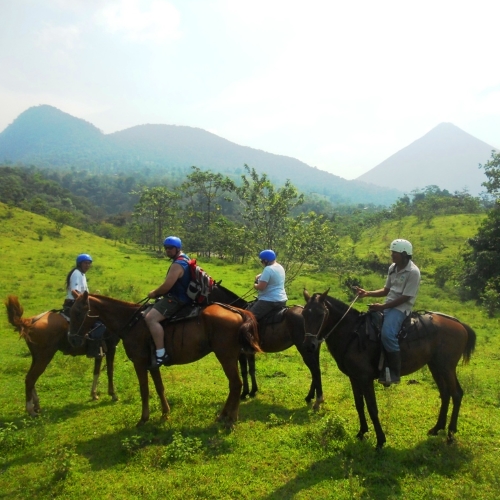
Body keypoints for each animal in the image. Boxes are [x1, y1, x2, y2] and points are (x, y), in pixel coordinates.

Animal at [70, 290, 262, 426]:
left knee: (236, 384)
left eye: (78, 312)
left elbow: (144, 390)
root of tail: (238, 312)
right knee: (234, 384)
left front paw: (144, 418)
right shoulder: (152, 364)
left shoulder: (139, 363)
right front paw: (165, 413)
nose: (72, 338)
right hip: (232, 356)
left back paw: (231, 418)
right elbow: (159, 387)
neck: (132, 322)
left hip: (226, 356)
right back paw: (224, 415)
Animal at [300, 290, 476, 450]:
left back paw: (451, 434)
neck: (353, 334)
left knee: (456, 394)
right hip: (436, 367)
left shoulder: (365, 379)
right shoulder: (354, 378)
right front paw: (362, 432)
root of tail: (460, 325)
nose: (309, 345)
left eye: (321, 314)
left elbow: (372, 408)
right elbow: (359, 405)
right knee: (445, 394)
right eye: (303, 313)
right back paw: (437, 428)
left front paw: (380, 440)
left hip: (446, 367)